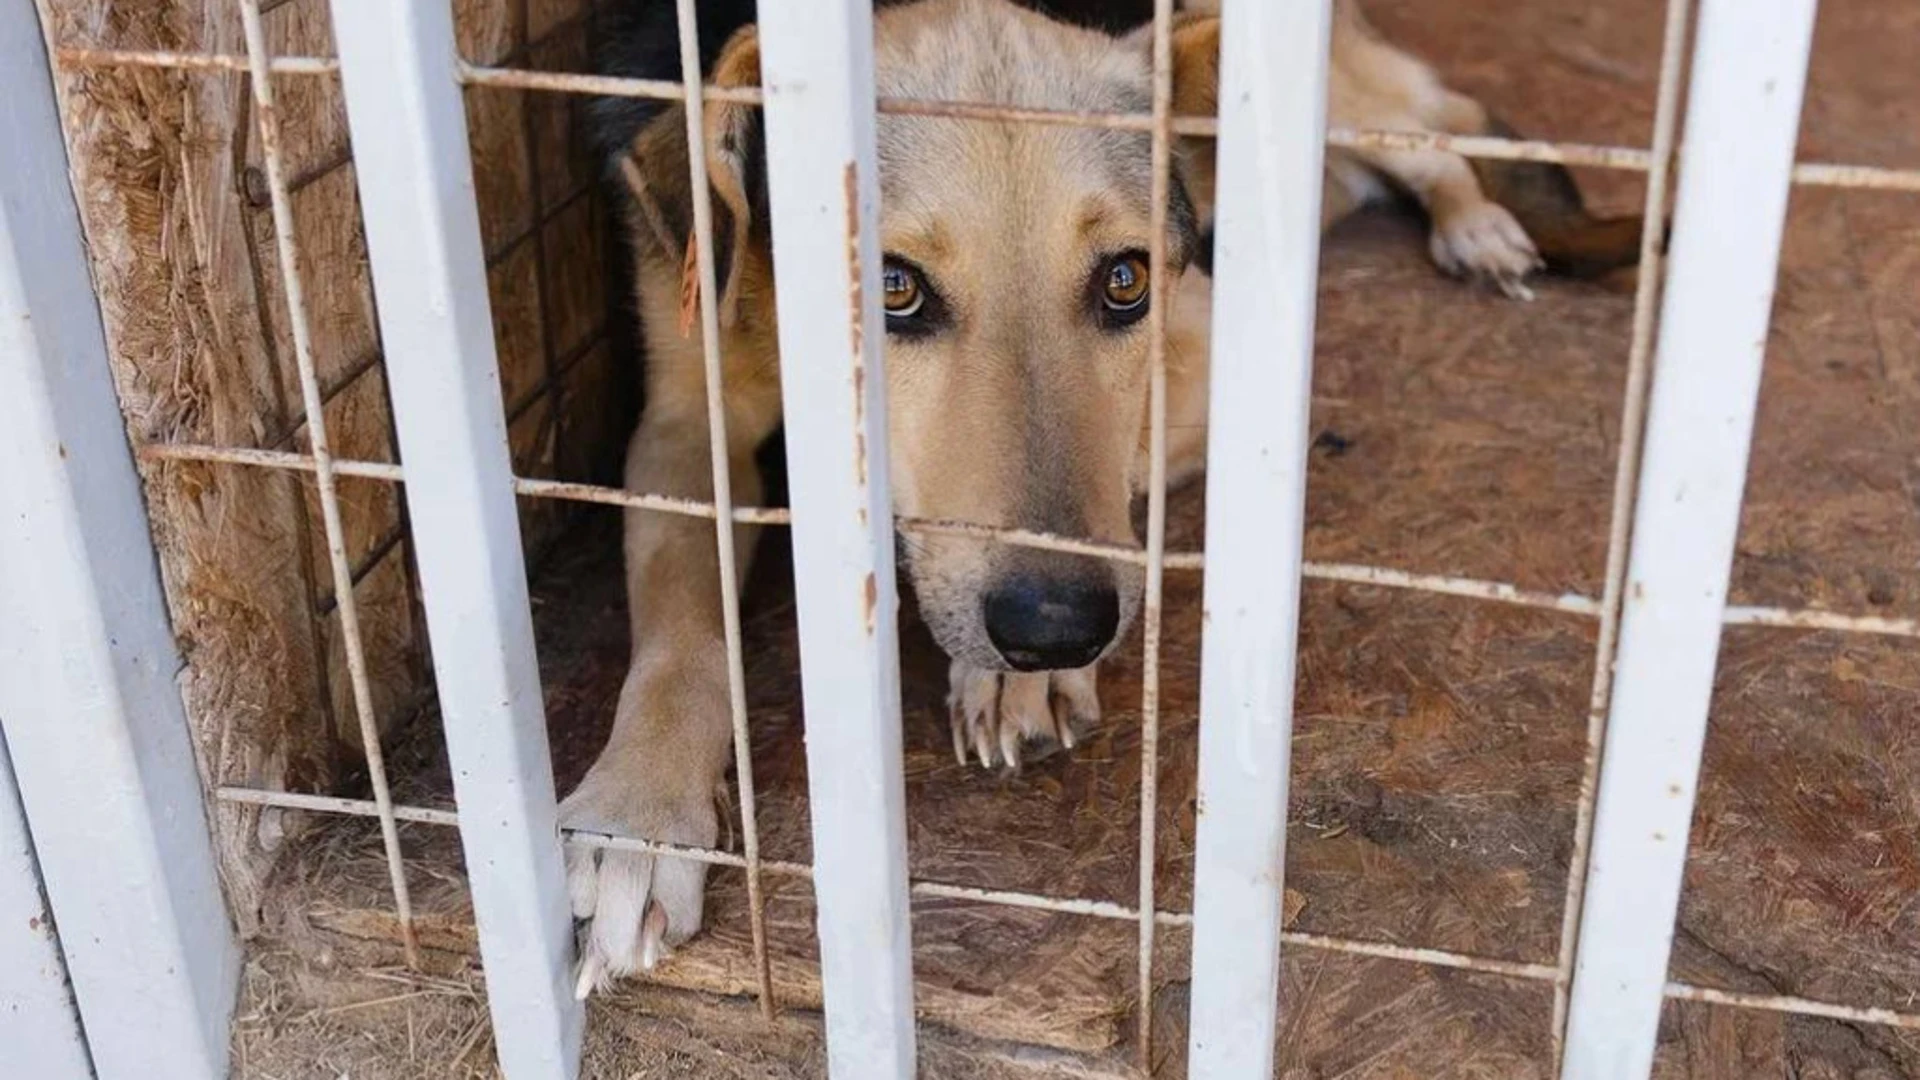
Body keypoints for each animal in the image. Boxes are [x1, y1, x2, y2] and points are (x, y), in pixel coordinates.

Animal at [556, 0, 1635, 983]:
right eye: (890, 289)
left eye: (1125, 281)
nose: (1054, 628)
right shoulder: (679, 423)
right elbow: (681, 629)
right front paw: (640, 813)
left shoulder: (1204, 361)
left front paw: (1010, 678)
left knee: (1438, 126)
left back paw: (1478, 224)